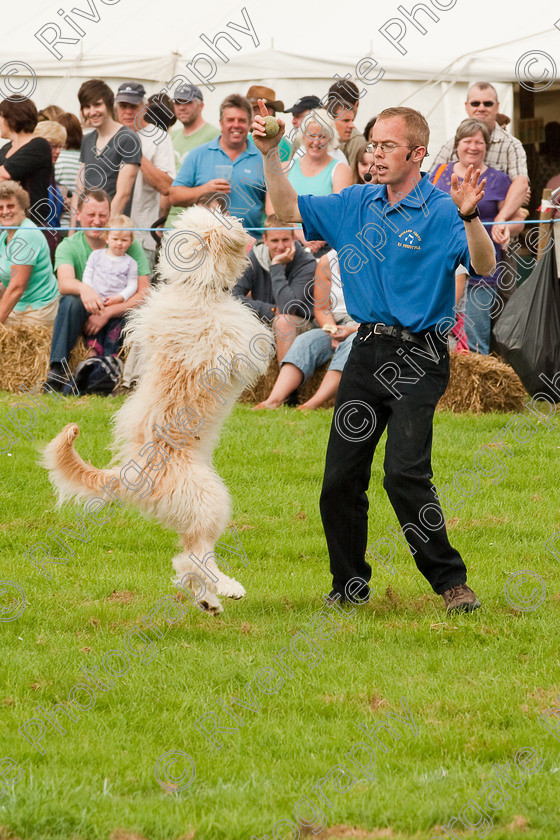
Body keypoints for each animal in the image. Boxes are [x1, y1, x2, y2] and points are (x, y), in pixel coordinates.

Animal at [41, 208, 274, 616]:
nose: (240, 220)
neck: (196, 289)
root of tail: (127, 475)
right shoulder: (229, 343)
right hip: (208, 498)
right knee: (194, 558)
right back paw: (225, 589)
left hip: (191, 507)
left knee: (189, 560)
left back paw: (209, 600)